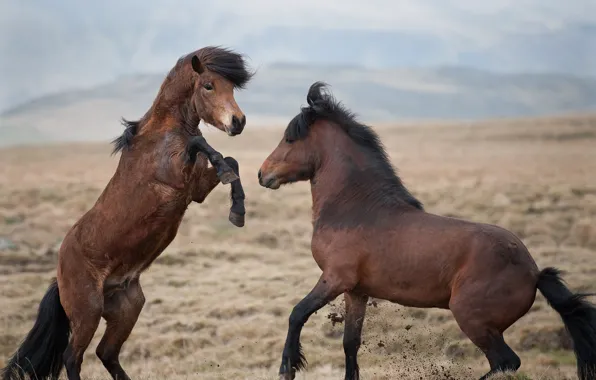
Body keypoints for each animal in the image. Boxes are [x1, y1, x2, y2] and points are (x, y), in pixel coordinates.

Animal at [1, 45, 254, 380]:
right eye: (208, 85)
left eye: (231, 87)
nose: (238, 122)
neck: (162, 133)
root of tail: (60, 273)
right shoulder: (176, 177)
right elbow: (201, 143)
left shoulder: (195, 190)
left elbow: (230, 161)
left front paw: (238, 211)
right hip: (88, 311)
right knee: (73, 356)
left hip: (127, 307)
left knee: (106, 352)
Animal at [258, 82, 596, 380]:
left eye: (290, 139)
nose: (263, 174)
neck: (356, 206)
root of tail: (534, 271)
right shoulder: (356, 291)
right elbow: (350, 344)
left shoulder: (335, 278)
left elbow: (297, 313)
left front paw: (287, 368)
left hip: (473, 320)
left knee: (505, 362)